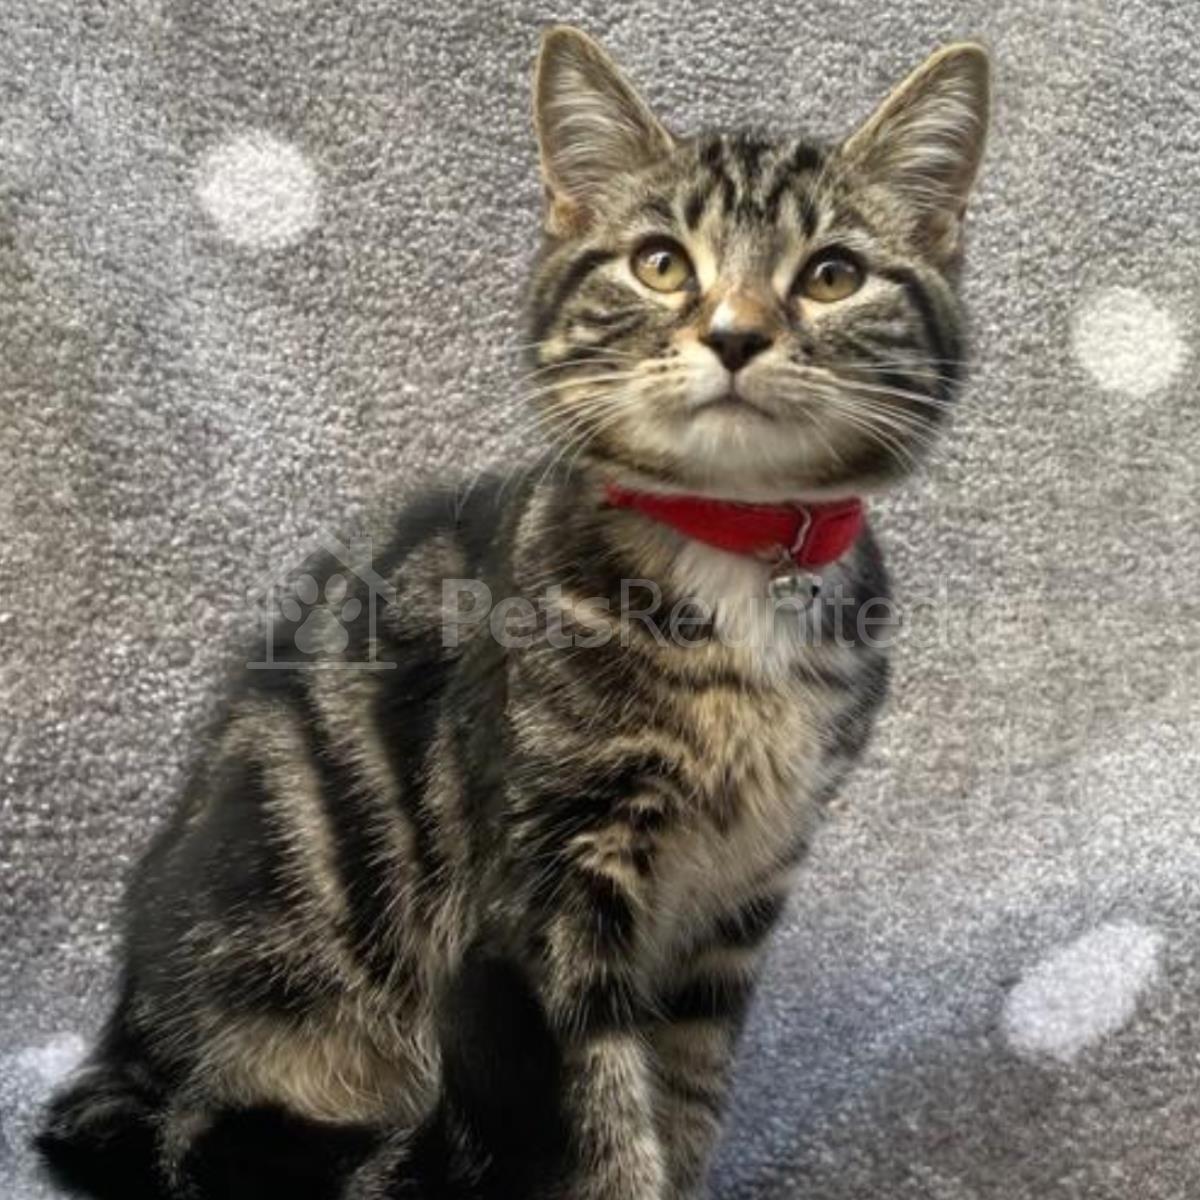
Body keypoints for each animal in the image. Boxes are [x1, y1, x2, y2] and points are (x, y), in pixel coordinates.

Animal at [38, 24, 989, 1200]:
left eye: (832, 276)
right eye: (661, 262)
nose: (734, 334)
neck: (730, 561)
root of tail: (126, 1061)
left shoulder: (739, 900)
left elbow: (689, 1090)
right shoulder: (548, 884)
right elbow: (603, 1118)